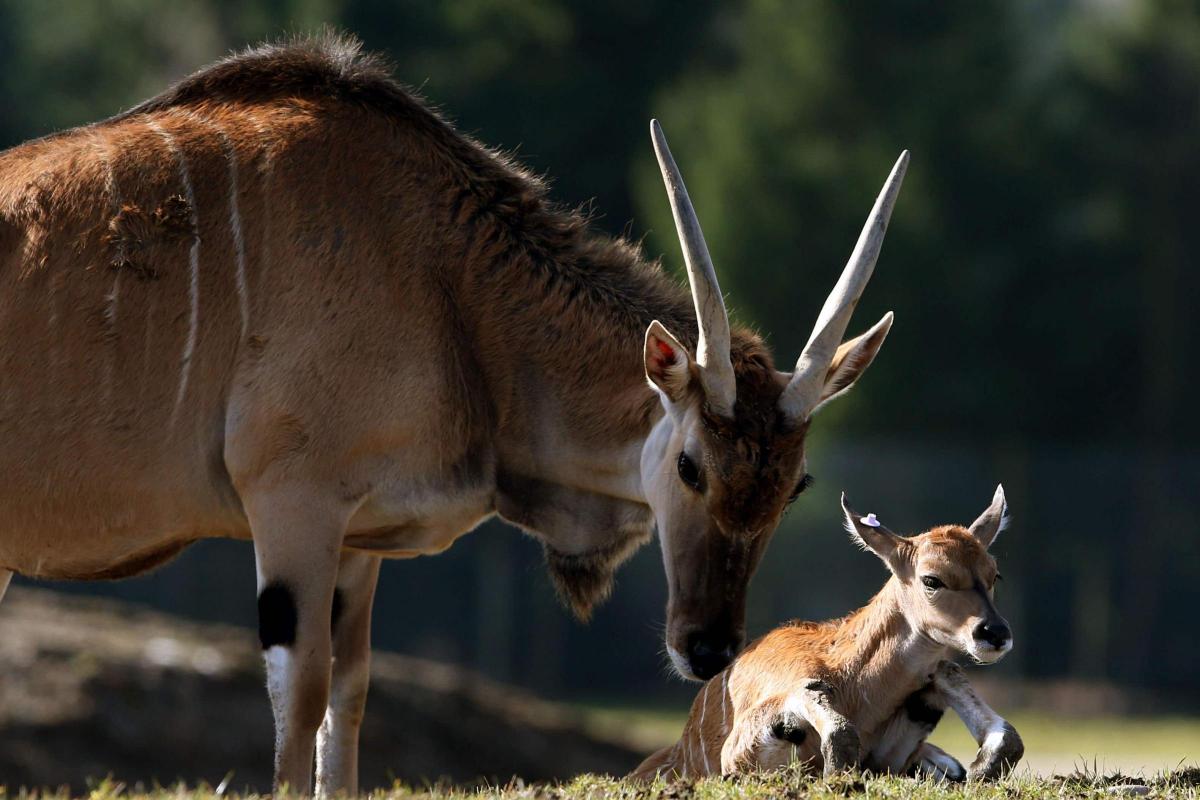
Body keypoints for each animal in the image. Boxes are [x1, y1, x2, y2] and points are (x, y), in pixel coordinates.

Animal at [0, 34, 902, 791]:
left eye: (793, 487)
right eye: (690, 465)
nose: (708, 646)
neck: (440, 274)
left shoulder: (355, 541)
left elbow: (349, 699)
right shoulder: (293, 506)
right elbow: (302, 696)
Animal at [633, 489, 1027, 782]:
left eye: (994, 574)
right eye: (932, 579)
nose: (995, 634)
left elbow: (1000, 730)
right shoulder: (744, 749)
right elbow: (832, 725)